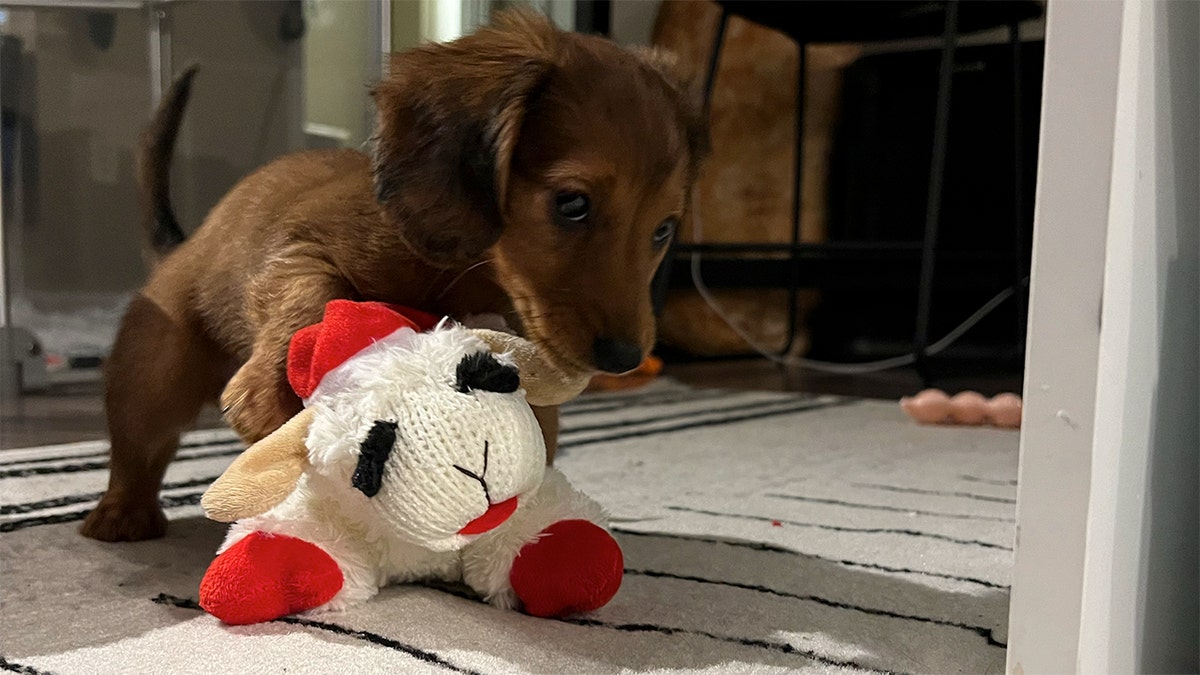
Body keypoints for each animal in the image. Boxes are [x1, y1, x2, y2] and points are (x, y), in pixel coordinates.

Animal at [82, 7, 700, 538]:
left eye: (664, 230)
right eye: (572, 204)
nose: (624, 359)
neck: (464, 273)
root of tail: (180, 248)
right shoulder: (298, 242)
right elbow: (311, 289)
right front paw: (275, 389)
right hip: (152, 374)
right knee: (138, 447)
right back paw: (121, 513)